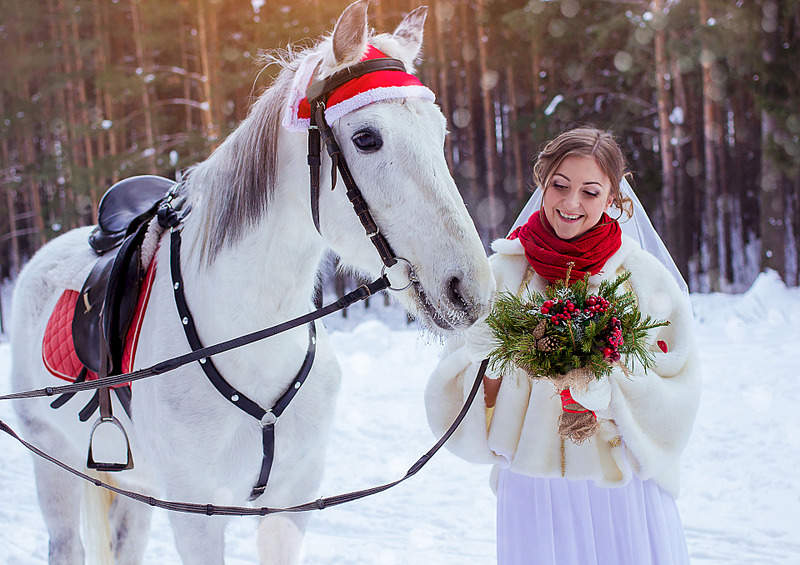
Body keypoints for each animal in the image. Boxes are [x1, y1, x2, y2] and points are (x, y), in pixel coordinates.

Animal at [7, 4, 494, 564]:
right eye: (366, 138)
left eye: (440, 132)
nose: (470, 289)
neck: (253, 340)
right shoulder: (194, 510)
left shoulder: (292, 502)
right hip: (54, 465)